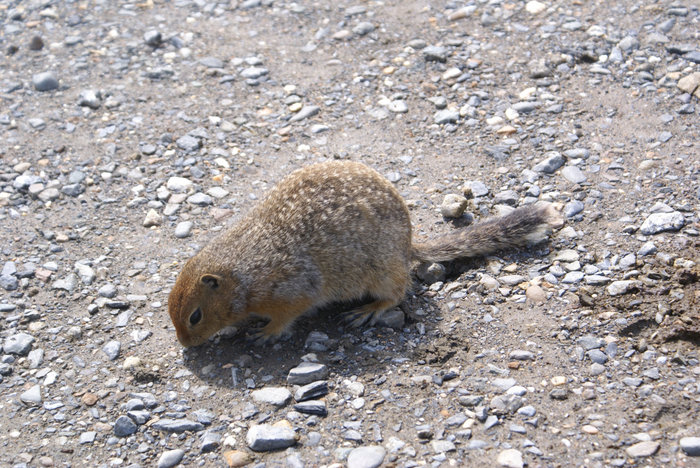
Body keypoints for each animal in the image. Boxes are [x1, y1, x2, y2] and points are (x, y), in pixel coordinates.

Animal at [168, 161, 564, 348]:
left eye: (195, 316)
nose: (185, 346)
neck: (240, 276)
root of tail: (408, 244)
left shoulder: (289, 290)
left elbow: (288, 316)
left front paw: (265, 333)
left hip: (382, 272)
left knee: (397, 294)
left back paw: (367, 311)